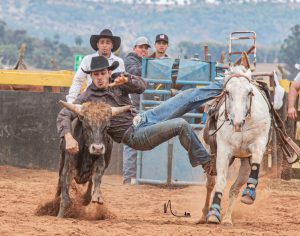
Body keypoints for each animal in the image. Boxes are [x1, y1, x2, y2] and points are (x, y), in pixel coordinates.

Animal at [198, 63, 270, 226]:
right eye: (227, 92)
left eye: (249, 92)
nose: (237, 123)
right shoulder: (224, 151)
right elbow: (220, 182)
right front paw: (213, 213)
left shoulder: (259, 144)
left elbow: (256, 163)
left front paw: (250, 192)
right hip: (212, 157)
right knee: (210, 184)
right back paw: (205, 214)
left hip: (244, 165)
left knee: (234, 189)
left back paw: (227, 218)